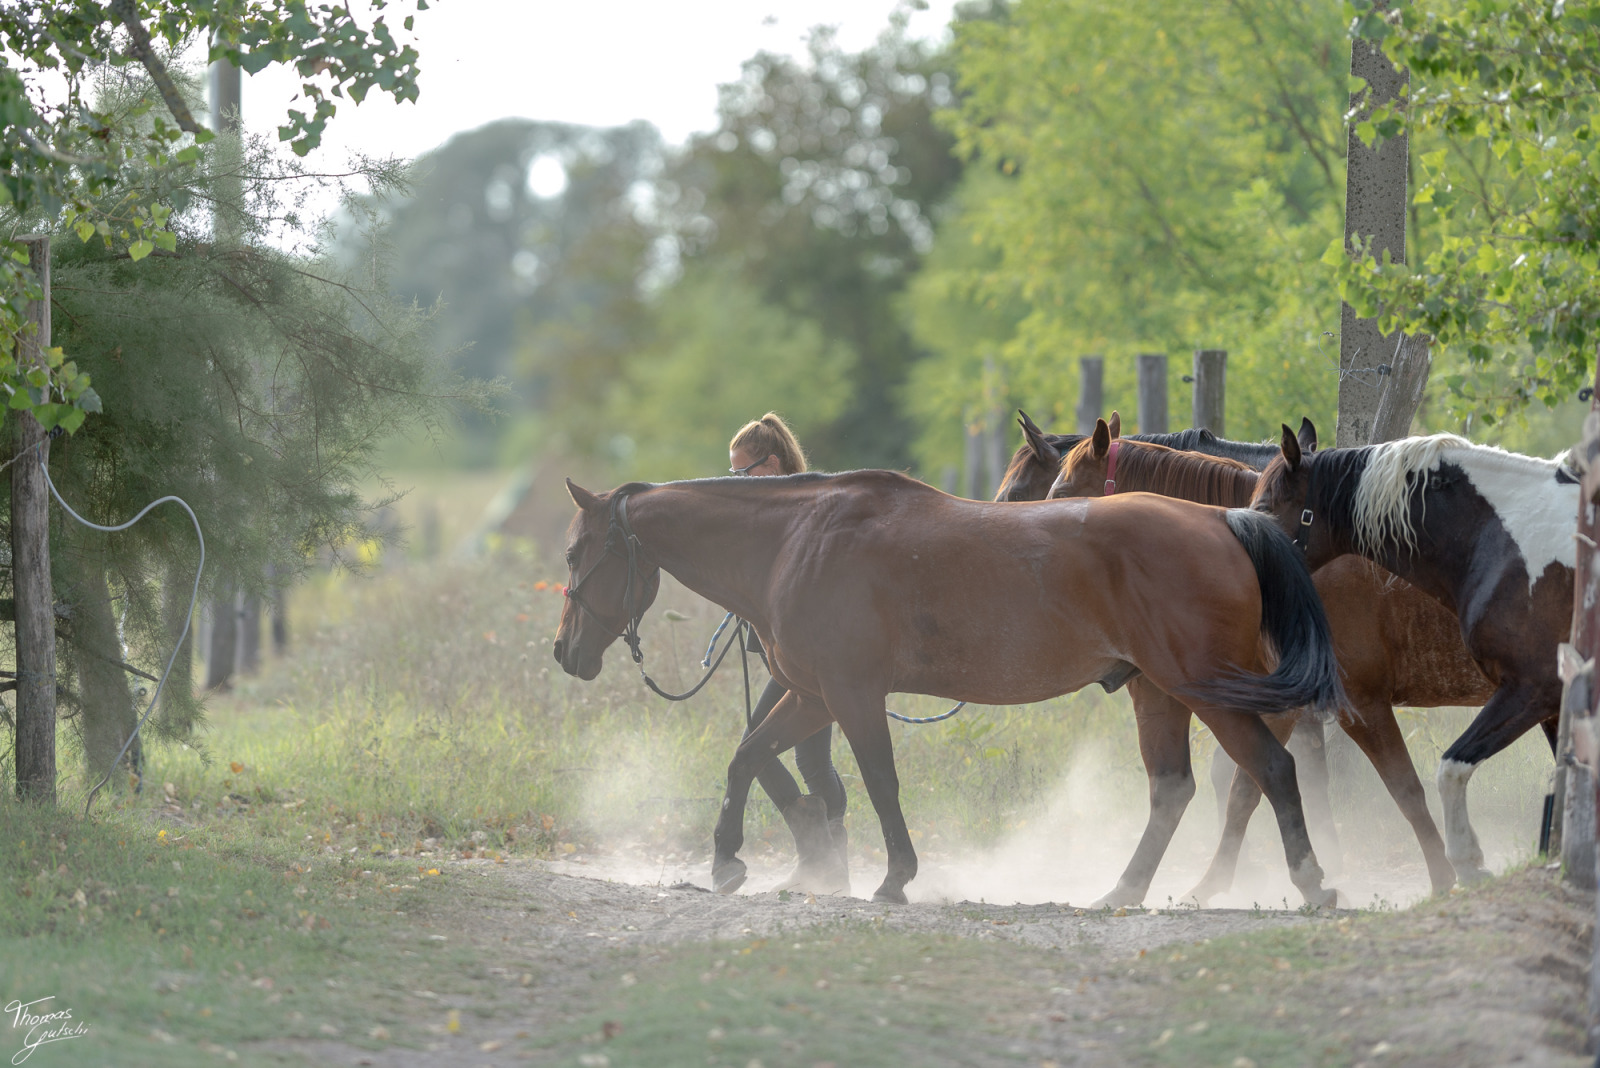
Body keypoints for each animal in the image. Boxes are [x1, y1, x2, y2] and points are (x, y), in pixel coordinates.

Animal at [553, 470, 1350, 908]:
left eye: (576, 550)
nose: (564, 652)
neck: (795, 540)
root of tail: (1222, 518)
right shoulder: (811, 696)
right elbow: (747, 756)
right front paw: (726, 862)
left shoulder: (849, 695)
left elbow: (879, 781)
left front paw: (896, 877)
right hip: (1155, 694)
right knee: (1171, 792)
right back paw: (1121, 893)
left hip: (1205, 691)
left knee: (1270, 769)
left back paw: (1312, 883)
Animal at [1056, 415, 1491, 895]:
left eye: (1063, 492)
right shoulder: (1285, 706)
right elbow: (1246, 789)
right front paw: (1214, 883)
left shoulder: (1362, 705)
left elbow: (1405, 790)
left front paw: (1441, 878)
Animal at [1248, 422, 1574, 882]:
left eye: (1265, 506)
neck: (1503, 541)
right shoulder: (1550, 703)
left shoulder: (1531, 689)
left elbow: (1444, 771)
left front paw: (1464, 864)